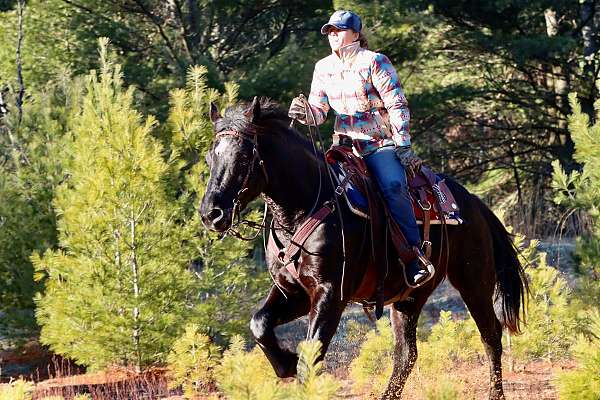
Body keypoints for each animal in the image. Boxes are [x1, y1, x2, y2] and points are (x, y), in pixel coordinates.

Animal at [200, 97, 524, 400]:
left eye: (244, 156)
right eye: (209, 156)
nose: (210, 214)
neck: (303, 209)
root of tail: (472, 202)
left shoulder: (332, 293)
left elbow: (310, 358)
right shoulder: (293, 291)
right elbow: (260, 324)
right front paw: (285, 363)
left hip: (474, 282)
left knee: (491, 336)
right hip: (409, 297)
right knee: (406, 354)